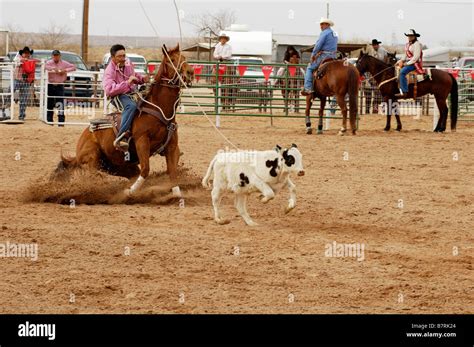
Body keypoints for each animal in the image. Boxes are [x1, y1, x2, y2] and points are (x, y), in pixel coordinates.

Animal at [56, 45, 193, 198]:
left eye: (184, 58)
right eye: (172, 60)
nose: (190, 72)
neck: (158, 110)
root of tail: (84, 135)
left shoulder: (172, 145)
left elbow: (173, 172)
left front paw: (177, 194)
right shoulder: (142, 141)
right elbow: (146, 169)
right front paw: (129, 192)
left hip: (119, 165)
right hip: (92, 156)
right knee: (92, 173)